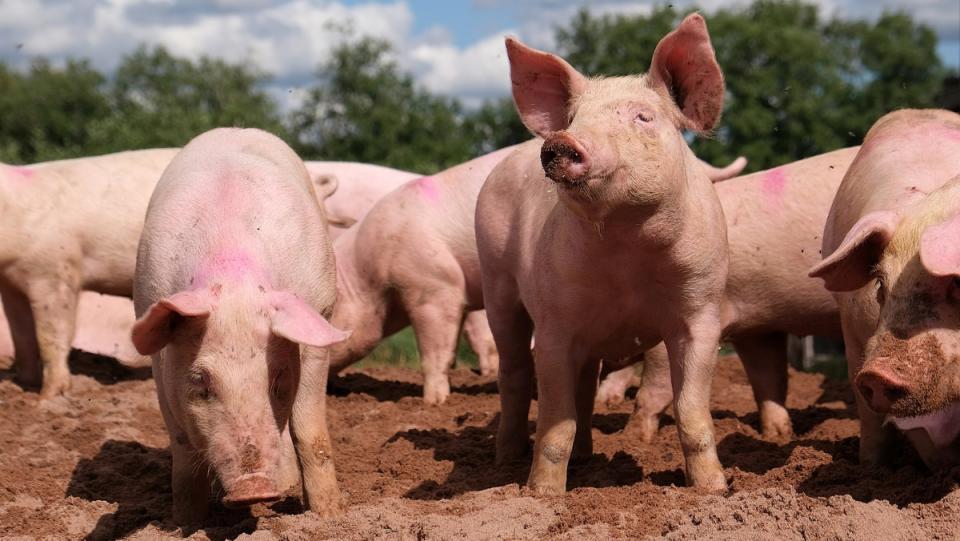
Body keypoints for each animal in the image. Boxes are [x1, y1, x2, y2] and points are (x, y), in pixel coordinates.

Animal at [0, 150, 181, 394]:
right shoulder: (10, 283)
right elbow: (21, 336)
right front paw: (25, 385)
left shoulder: (56, 269)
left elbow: (51, 336)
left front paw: (48, 396)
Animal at [130, 127, 348, 524]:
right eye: (200, 381)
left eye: (277, 379)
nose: (254, 488)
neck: (231, 271)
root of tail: (235, 128)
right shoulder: (157, 351)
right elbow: (182, 448)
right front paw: (184, 524)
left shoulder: (317, 317)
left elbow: (309, 431)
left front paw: (329, 516)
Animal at [476, 12, 732, 494]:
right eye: (575, 117)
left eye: (643, 116)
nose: (561, 141)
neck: (627, 249)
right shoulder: (554, 324)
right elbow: (555, 424)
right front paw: (541, 496)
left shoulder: (702, 312)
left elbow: (691, 414)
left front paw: (714, 491)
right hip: (496, 282)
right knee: (514, 373)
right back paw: (504, 462)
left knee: (585, 388)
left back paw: (585, 458)